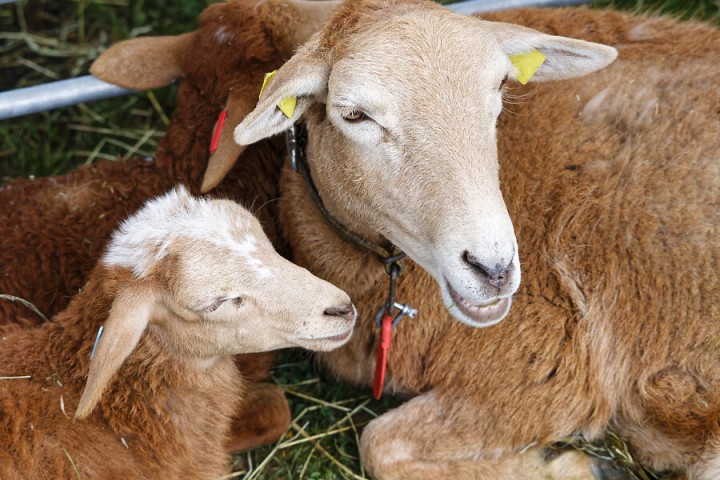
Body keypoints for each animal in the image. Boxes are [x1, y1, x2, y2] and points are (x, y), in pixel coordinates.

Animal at [225, 0, 720, 476]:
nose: (493, 269)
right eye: (353, 114)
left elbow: (381, 445)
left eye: (501, 84)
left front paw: (586, 466)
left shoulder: (552, 373)